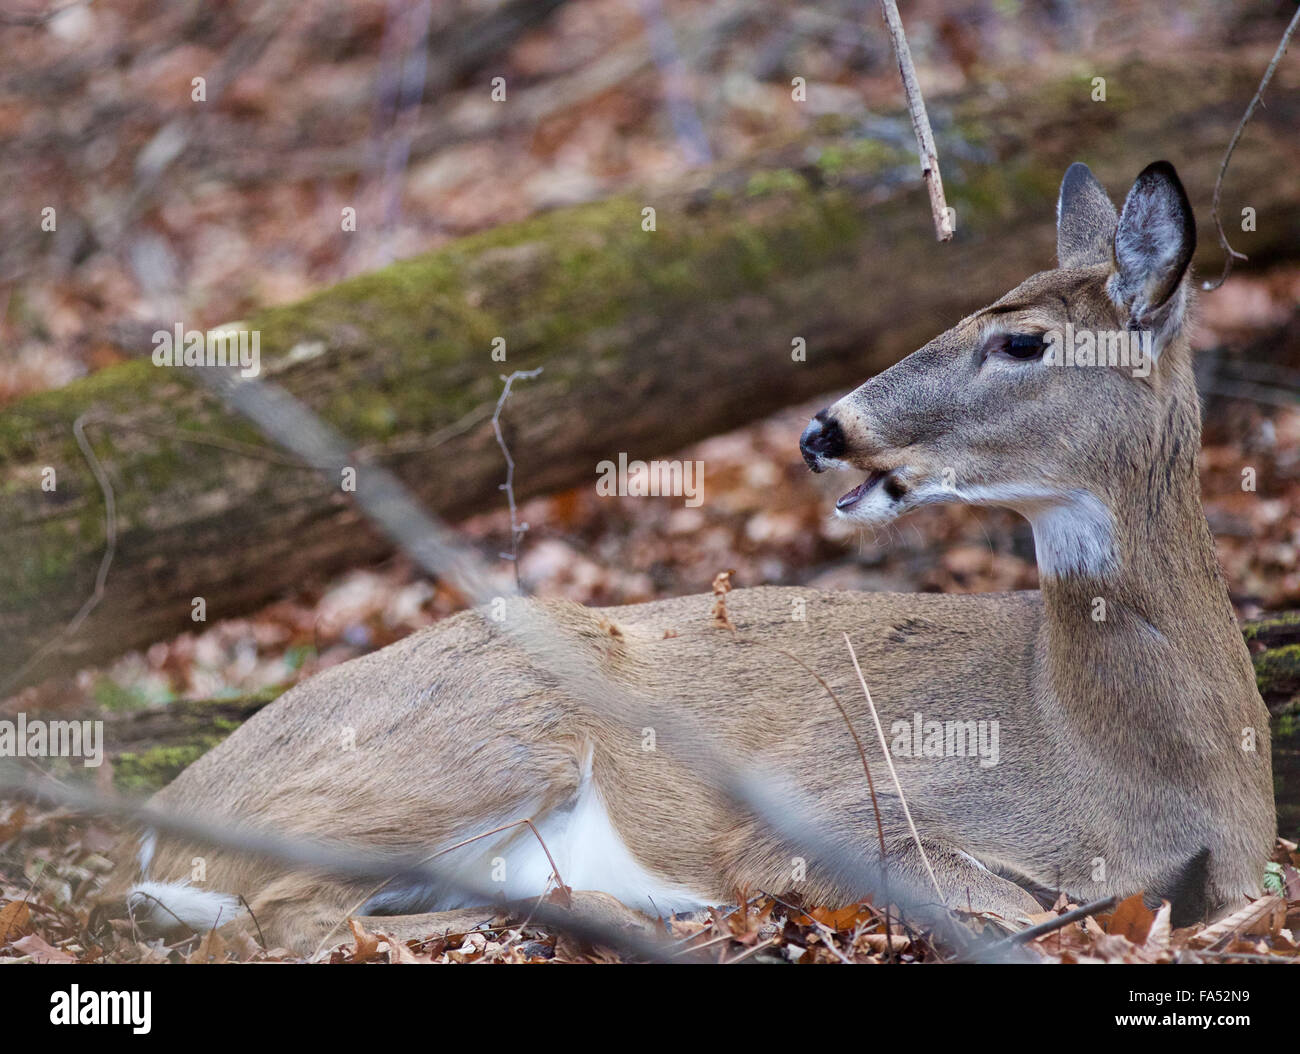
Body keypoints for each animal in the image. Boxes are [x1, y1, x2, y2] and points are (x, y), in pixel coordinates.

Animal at [103, 161, 1275, 955]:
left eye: (1021, 340)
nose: (823, 429)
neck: (1123, 773)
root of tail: (165, 826)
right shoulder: (828, 807)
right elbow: (1004, 901)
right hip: (492, 724)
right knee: (289, 917)